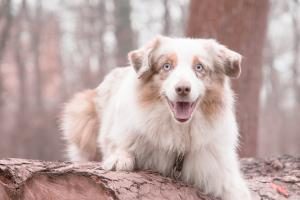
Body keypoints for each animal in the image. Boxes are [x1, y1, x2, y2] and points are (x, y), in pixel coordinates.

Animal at [62, 36, 252, 200]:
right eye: (167, 66)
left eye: (199, 67)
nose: (183, 89)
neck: (179, 131)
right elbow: (120, 145)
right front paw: (119, 158)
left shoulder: (223, 177)